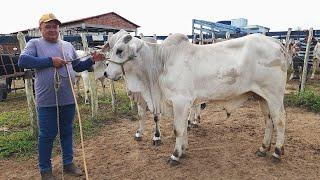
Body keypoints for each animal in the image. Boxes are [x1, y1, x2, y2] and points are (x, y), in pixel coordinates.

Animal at [105, 32, 290, 165]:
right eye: (110, 49)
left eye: (119, 50)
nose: (106, 72)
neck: (161, 62)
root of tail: (276, 42)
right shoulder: (182, 104)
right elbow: (183, 128)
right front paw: (183, 150)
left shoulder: (180, 101)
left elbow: (178, 129)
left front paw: (175, 155)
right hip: (262, 97)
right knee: (268, 121)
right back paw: (263, 148)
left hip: (274, 95)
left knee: (280, 121)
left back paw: (276, 152)